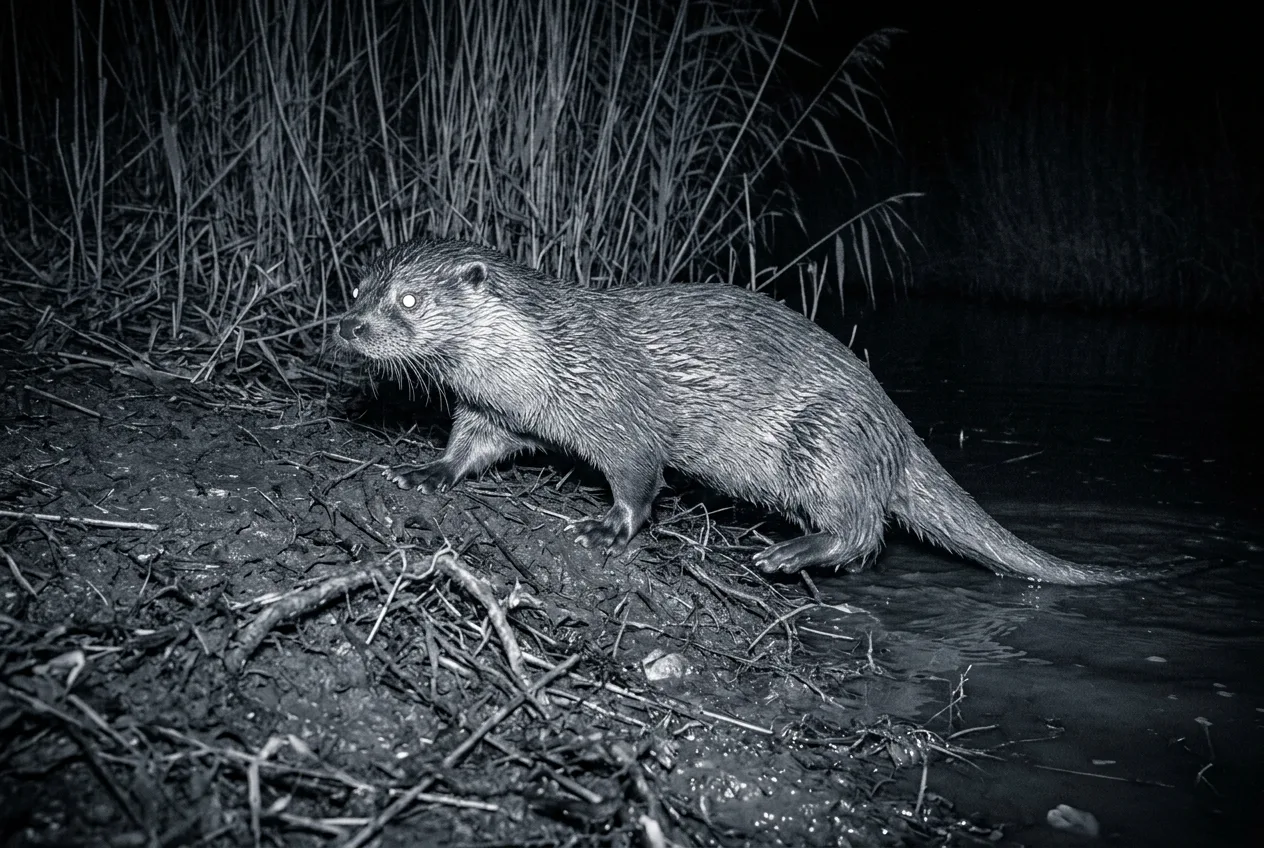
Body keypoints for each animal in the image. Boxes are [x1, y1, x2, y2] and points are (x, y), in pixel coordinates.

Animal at [337, 238, 1152, 585]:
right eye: (360, 285)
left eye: (409, 300)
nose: (351, 327)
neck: (540, 358)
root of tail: (895, 424)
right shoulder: (493, 409)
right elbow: (471, 447)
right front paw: (426, 472)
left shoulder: (617, 409)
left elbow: (640, 474)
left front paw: (608, 526)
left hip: (827, 439)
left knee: (865, 530)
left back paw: (789, 553)